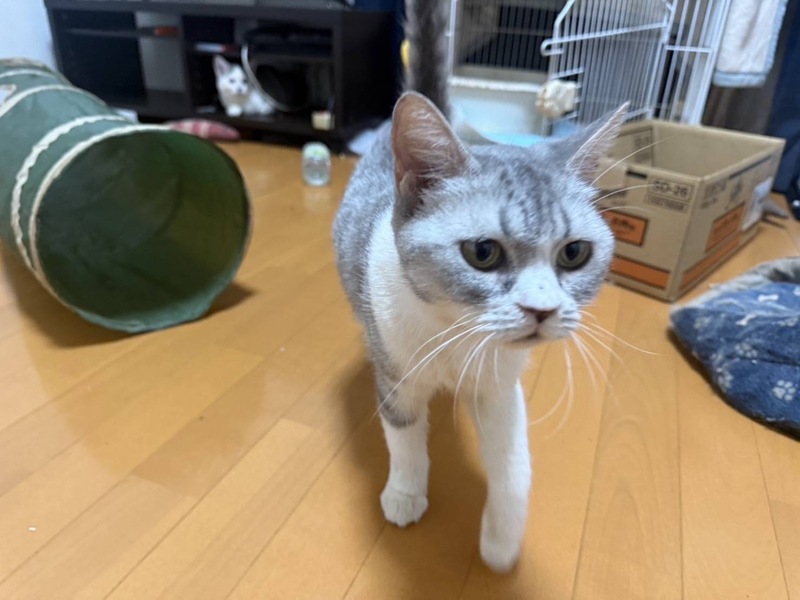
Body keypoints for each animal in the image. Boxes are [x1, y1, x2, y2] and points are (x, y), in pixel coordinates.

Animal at [332, 0, 626, 573]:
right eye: (483, 253)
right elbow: (404, 437)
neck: (456, 335)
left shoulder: (499, 387)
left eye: (574, 253)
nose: (542, 310)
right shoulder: (398, 374)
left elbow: (515, 465)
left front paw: (501, 540)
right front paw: (405, 492)